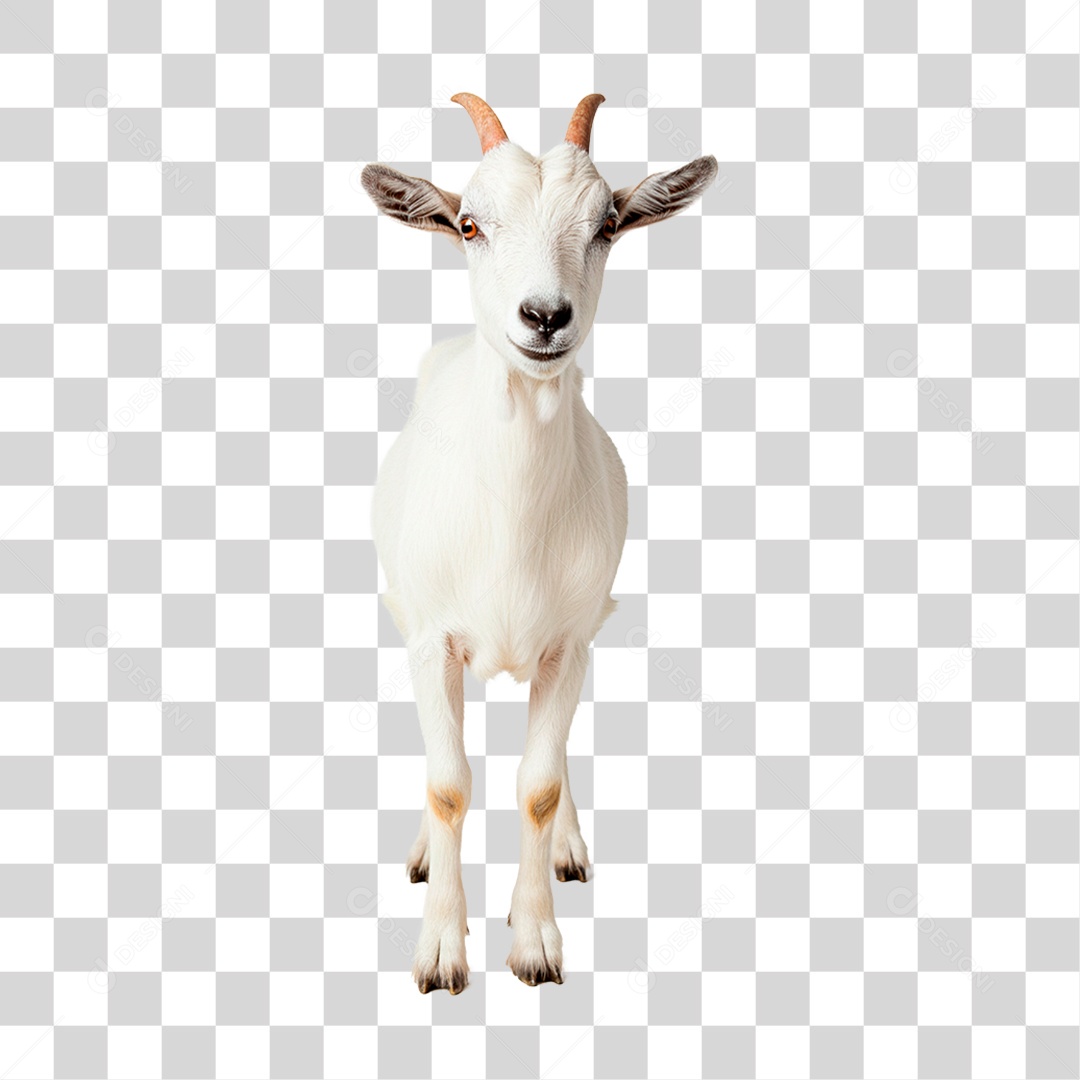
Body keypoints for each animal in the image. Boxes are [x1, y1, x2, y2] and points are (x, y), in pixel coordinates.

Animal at [361, 93, 716, 994]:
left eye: (606, 224)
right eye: (470, 224)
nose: (546, 316)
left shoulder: (568, 644)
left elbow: (539, 787)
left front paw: (534, 942)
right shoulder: (431, 642)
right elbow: (450, 785)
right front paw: (442, 950)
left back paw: (568, 850)